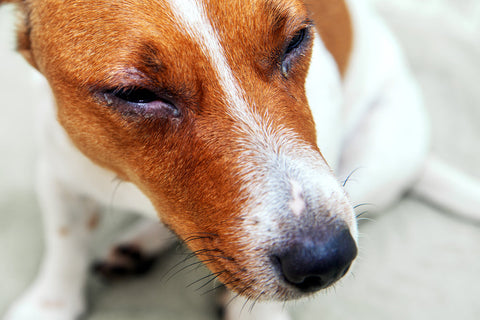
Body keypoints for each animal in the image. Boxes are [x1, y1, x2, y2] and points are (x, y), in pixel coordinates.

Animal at [1, 0, 478, 318]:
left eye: (296, 40)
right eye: (134, 94)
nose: (326, 260)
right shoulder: (59, 173)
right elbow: (65, 243)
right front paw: (51, 303)